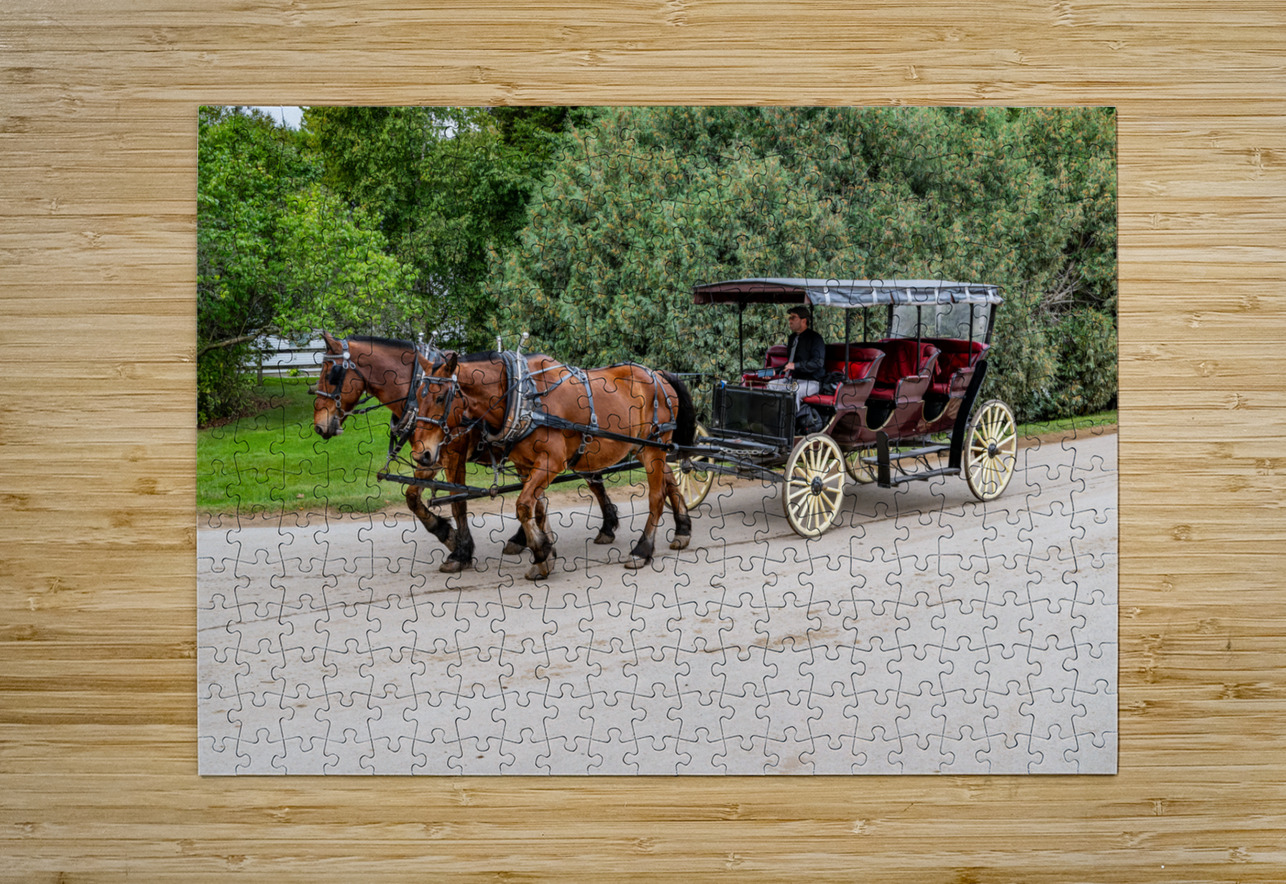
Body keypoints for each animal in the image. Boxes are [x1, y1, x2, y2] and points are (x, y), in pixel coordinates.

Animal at [310, 332, 623, 572]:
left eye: (331, 374)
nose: (319, 426)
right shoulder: (430, 453)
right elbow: (412, 497)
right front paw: (445, 533)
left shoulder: (453, 454)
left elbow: (457, 502)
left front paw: (460, 550)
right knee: (560, 488)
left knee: (591, 480)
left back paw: (605, 527)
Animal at [410, 351, 697, 580]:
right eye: (417, 397)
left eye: (440, 398)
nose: (422, 453)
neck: (524, 399)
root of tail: (657, 373)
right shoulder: (526, 465)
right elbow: (537, 508)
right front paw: (545, 551)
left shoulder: (551, 461)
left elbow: (522, 505)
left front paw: (539, 553)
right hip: (645, 448)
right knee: (670, 482)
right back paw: (682, 531)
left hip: (654, 447)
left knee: (656, 497)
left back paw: (642, 550)